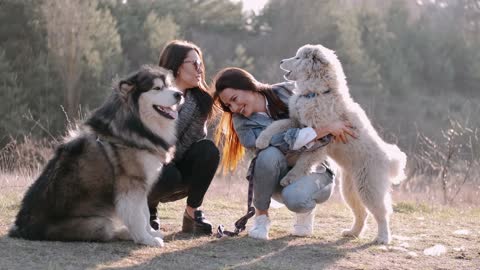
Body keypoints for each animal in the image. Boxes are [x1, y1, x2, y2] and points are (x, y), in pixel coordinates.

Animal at [9, 66, 182, 247]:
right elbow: (139, 216)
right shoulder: (131, 184)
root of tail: (22, 228)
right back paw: (126, 232)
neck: (136, 124)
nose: (179, 95)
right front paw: (146, 238)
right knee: (109, 231)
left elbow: (145, 212)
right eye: (157, 88)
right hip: (99, 223)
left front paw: (150, 232)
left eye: (170, 85)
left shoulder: (142, 184)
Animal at [256, 44, 406, 245]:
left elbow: (304, 162)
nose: (281, 61)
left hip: (368, 187)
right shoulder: (296, 122)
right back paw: (352, 232)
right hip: (350, 189)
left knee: (381, 213)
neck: (315, 94)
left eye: (297, 58)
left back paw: (382, 237)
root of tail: (388, 160)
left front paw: (290, 178)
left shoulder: (322, 139)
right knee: (361, 213)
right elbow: (277, 125)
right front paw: (262, 139)